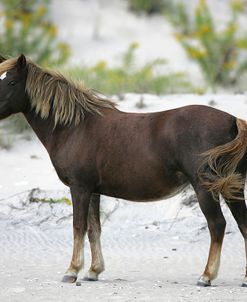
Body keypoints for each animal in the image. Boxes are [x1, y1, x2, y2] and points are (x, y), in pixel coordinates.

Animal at [0, 54, 247, 288]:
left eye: (11, 81)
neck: (73, 127)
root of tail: (233, 120)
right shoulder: (93, 191)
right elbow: (94, 229)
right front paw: (94, 271)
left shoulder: (79, 188)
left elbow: (78, 226)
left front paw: (72, 271)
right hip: (233, 189)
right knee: (243, 225)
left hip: (205, 188)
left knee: (217, 225)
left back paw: (206, 276)